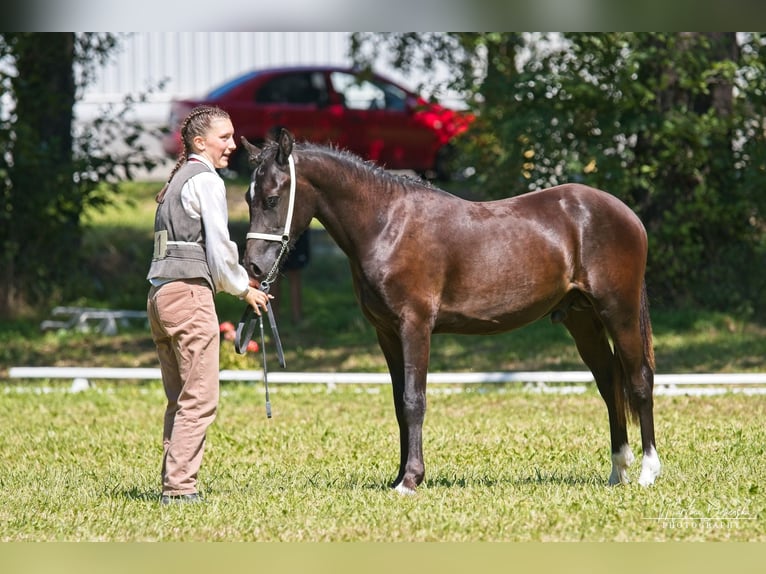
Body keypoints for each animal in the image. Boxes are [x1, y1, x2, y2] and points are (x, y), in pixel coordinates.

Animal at [243, 129, 664, 496]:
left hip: (619, 311)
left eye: (273, 198)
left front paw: (410, 480)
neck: (388, 225)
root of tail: (627, 214)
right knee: (609, 383)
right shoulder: (387, 334)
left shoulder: (414, 327)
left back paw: (647, 472)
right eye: (248, 198)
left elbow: (414, 401)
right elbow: (398, 404)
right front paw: (399, 476)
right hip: (582, 320)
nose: (253, 268)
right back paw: (617, 471)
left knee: (639, 381)